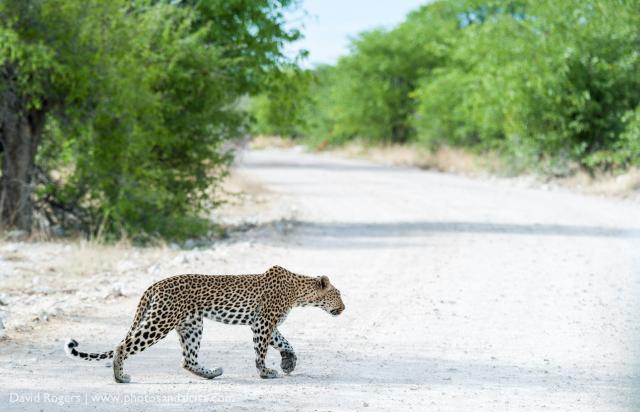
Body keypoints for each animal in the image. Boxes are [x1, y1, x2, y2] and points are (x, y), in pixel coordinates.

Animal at [65, 266, 344, 382]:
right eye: (338, 294)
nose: (344, 308)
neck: (299, 292)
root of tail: (154, 285)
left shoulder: (264, 323)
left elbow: (285, 342)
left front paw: (288, 362)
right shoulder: (263, 322)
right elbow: (262, 350)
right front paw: (265, 372)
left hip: (192, 325)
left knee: (187, 359)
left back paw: (211, 373)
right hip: (161, 321)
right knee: (122, 345)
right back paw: (120, 377)